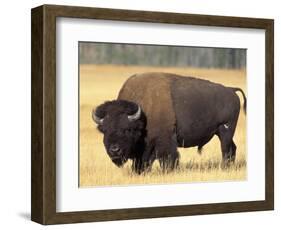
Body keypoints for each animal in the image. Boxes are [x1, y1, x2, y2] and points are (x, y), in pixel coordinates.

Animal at [91, 73, 245, 173]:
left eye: (127, 129)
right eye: (104, 130)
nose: (114, 150)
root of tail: (231, 90)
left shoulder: (164, 140)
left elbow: (167, 158)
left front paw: (169, 171)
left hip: (225, 130)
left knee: (226, 149)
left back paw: (224, 168)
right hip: (222, 132)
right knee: (232, 148)